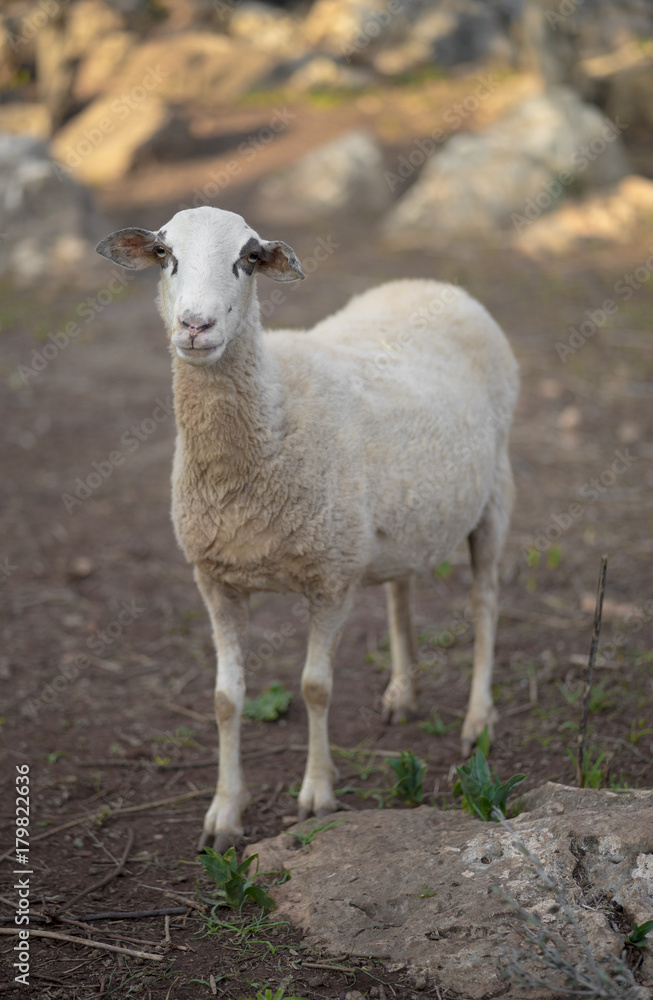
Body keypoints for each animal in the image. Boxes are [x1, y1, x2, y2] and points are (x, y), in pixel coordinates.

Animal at [96, 205, 519, 851]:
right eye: (165, 254)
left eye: (247, 258)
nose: (195, 325)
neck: (271, 411)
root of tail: (433, 284)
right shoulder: (214, 579)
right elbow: (225, 699)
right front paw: (224, 814)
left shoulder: (332, 576)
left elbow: (316, 687)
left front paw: (317, 796)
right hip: (395, 518)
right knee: (401, 591)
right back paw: (403, 693)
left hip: (494, 490)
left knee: (486, 602)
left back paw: (478, 720)